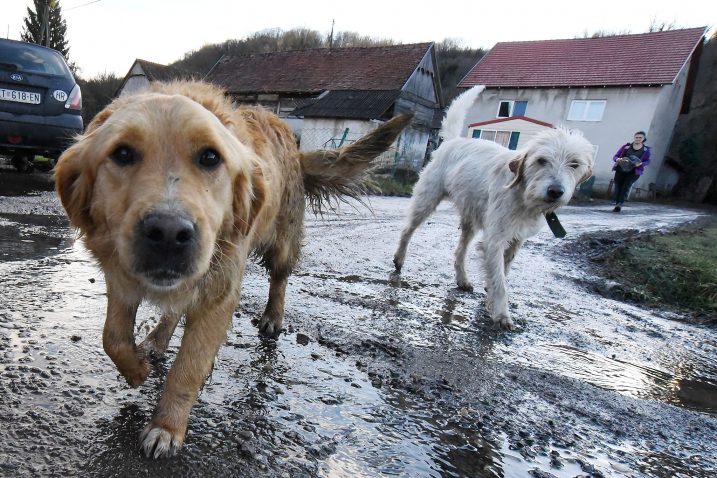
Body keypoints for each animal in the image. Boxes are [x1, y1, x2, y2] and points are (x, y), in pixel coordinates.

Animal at [392, 86, 592, 328]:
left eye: (574, 164)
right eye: (541, 160)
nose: (555, 191)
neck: (523, 194)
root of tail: (453, 142)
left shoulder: (517, 239)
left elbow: (503, 270)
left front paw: (492, 292)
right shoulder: (495, 239)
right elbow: (499, 280)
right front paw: (501, 313)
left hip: (470, 217)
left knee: (460, 250)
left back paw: (462, 279)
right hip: (426, 200)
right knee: (407, 230)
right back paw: (399, 259)